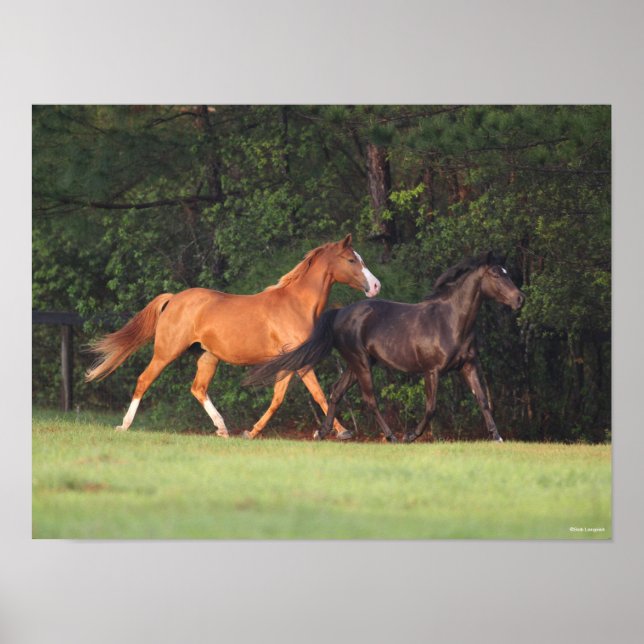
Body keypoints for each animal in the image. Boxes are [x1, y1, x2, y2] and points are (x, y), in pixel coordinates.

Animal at [85, 234, 380, 438]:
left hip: (208, 357)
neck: (296, 304)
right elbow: (317, 394)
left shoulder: (289, 362)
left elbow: (279, 398)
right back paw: (124, 425)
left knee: (198, 388)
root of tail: (174, 299)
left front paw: (251, 432)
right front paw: (342, 431)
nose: (376, 285)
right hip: (166, 352)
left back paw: (222, 428)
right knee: (144, 380)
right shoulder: (299, 361)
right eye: (352, 260)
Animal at [245, 251, 525, 443]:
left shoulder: (468, 365)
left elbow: (483, 400)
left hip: (357, 364)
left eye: (508, 271)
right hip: (360, 363)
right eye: (496, 274)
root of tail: (339, 313)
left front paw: (497, 437)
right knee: (370, 399)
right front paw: (411, 436)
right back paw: (390, 436)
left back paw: (323, 433)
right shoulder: (431, 371)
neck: (450, 321)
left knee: (336, 392)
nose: (520, 299)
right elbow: (431, 407)